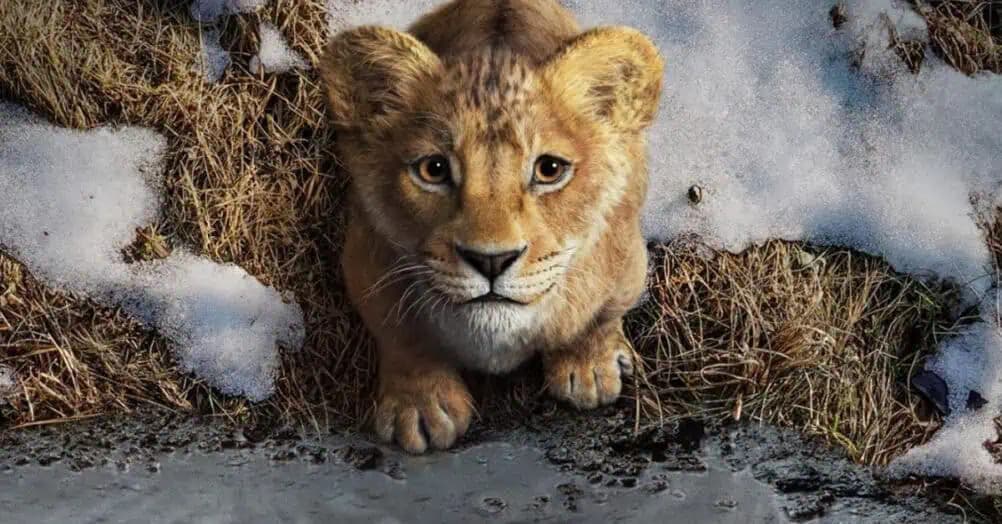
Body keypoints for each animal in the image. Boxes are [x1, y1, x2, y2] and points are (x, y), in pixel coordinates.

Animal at [320, 0, 664, 453]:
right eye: (433, 169)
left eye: (550, 169)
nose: (491, 261)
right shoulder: (365, 257)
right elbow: (400, 333)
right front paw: (422, 406)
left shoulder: (626, 260)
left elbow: (599, 316)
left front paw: (589, 367)